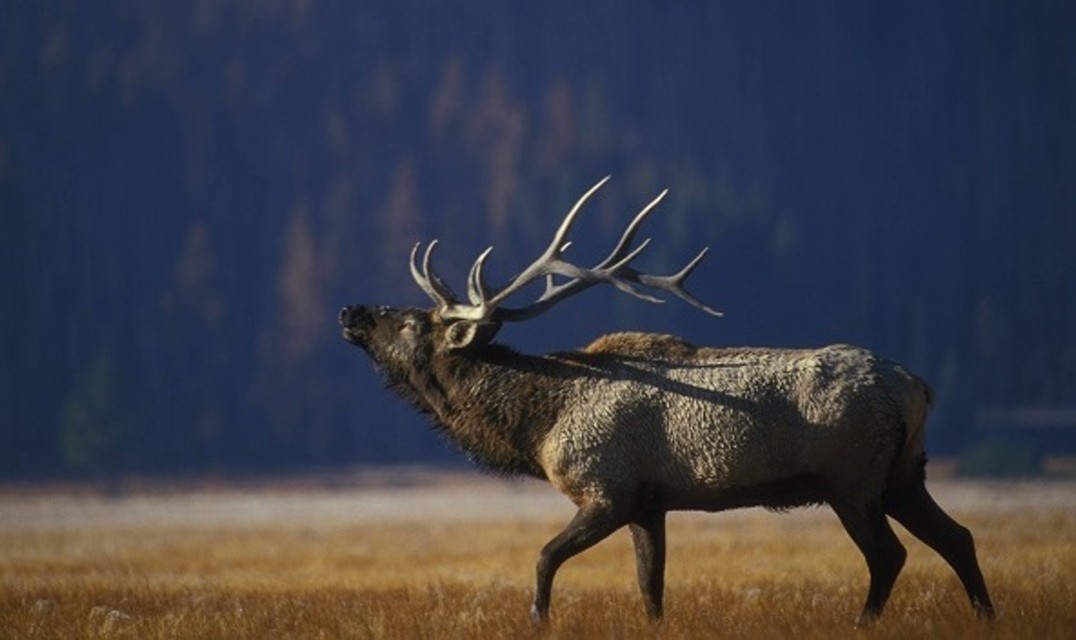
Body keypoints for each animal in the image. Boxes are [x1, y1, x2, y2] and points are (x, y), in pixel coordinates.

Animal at [338, 176, 995, 625]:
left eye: (410, 322)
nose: (350, 310)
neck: (538, 424)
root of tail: (916, 387)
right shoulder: (649, 505)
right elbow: (650, 588)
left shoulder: (606, 489)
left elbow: (545, 558)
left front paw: (539, 620)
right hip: (904, 474)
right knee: (958, 537)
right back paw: (985, 616)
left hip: (851, 479)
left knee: (889, 555)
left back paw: (863, 623)